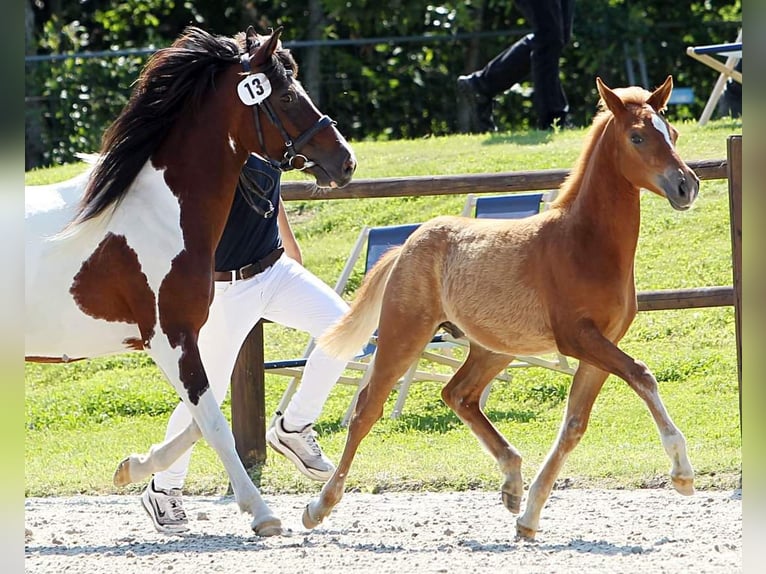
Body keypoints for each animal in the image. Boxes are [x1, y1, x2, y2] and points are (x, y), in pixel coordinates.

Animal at [25, 25, 356, 537]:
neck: (159, 212)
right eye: (284, 95)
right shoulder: (168, 336)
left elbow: (202, 415)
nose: (345, 163)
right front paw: (261, 513)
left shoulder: (188, 337)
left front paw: (133, 467)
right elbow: (214, 423)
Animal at [302, 76, 698, 539]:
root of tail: (407, 245)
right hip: (405, 334)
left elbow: (574, 424)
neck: (583, 242)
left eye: (673, 134)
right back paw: (319, 506)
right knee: (368, 408)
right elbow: (642, 375)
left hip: (494, 347)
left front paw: (529, 517)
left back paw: (511, 481)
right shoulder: (578, 338)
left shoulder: (601, 346)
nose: (687, 186)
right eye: (637, 136)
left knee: (458, 395)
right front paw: (682, 473)